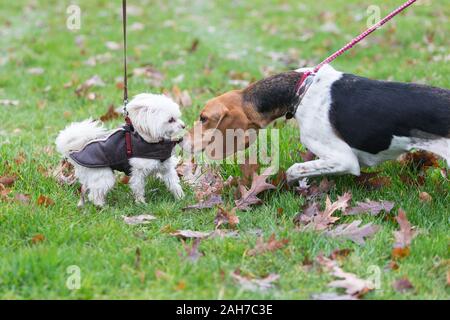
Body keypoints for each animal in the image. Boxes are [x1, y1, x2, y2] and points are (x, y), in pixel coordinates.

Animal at [56, 94, 186, 206]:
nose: (183, 126)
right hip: (103, 176)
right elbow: (138, 188)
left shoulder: (166, 168)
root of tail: (75, 151)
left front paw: (180, 198)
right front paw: (141, 203)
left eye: (178, 117)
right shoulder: (138, 172)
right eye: (171, 120)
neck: (154, 142)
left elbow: (174, 184)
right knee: (95, 194)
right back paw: (101, 206)